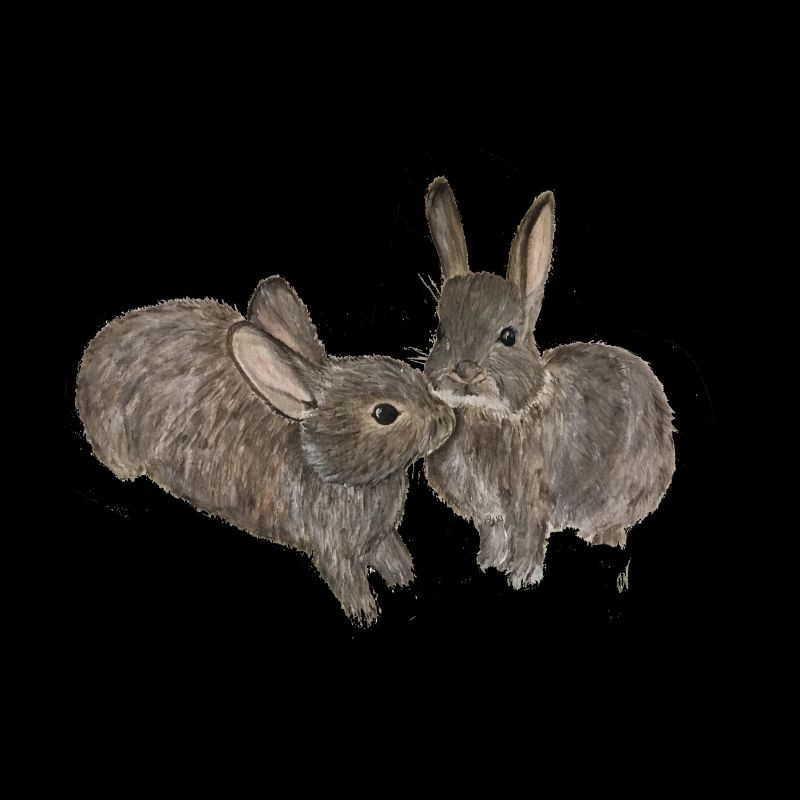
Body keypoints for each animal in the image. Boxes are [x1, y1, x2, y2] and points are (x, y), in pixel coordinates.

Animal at [76, 276, 455, 624]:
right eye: (384, 414)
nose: (447, 421)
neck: (324, 463)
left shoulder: (381, 536)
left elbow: (393, 555)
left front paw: (406, 579)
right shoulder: (334, 551)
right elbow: (348, 579)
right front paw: (364, 613)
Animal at [421, 177, 675, 588]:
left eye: (508, 336)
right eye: (441, 331)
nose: (466, 370)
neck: (489, 414)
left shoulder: (530, 500)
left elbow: (528, 535)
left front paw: (521, 576)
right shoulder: (490, 515)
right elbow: (494, 536)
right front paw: (488, 564)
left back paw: (600, 537)